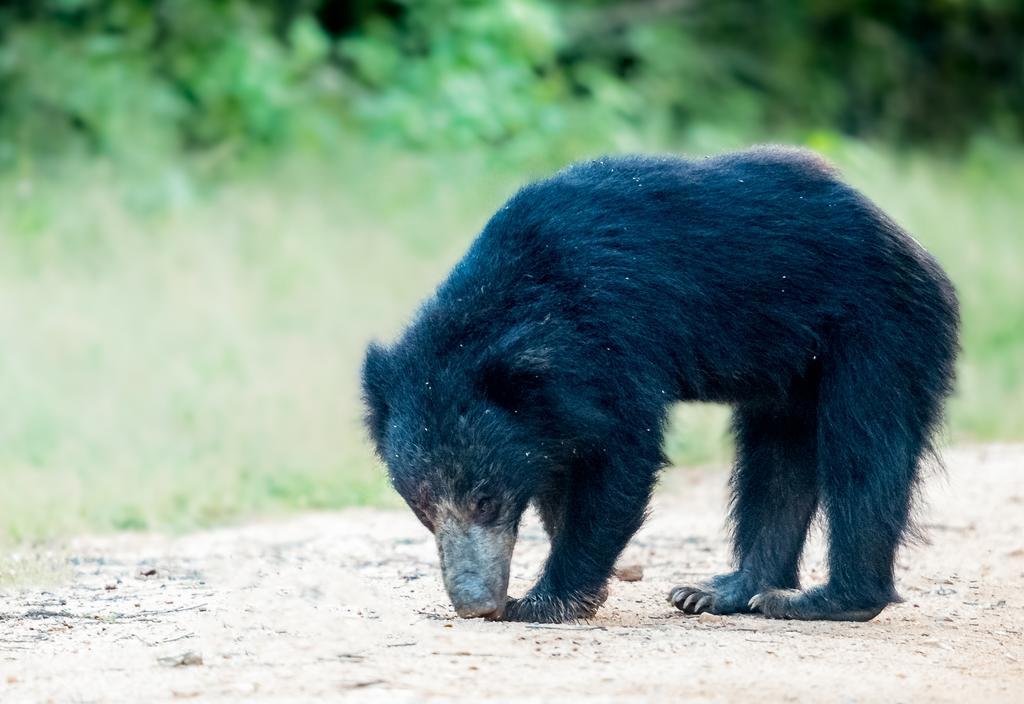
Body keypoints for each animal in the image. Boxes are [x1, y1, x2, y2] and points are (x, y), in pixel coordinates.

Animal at [360, 144, 958, 622]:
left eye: (485, 501)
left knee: (865, 452)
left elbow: (623, 454)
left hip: (878, 329)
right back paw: (723, 591)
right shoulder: (554, 404)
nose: (475, 605)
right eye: (423, 510)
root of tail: (914, 247)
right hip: (795, 366)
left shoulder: (616, 333)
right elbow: (565, 467)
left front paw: (542, 601)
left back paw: (828, 601)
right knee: (776, 463)